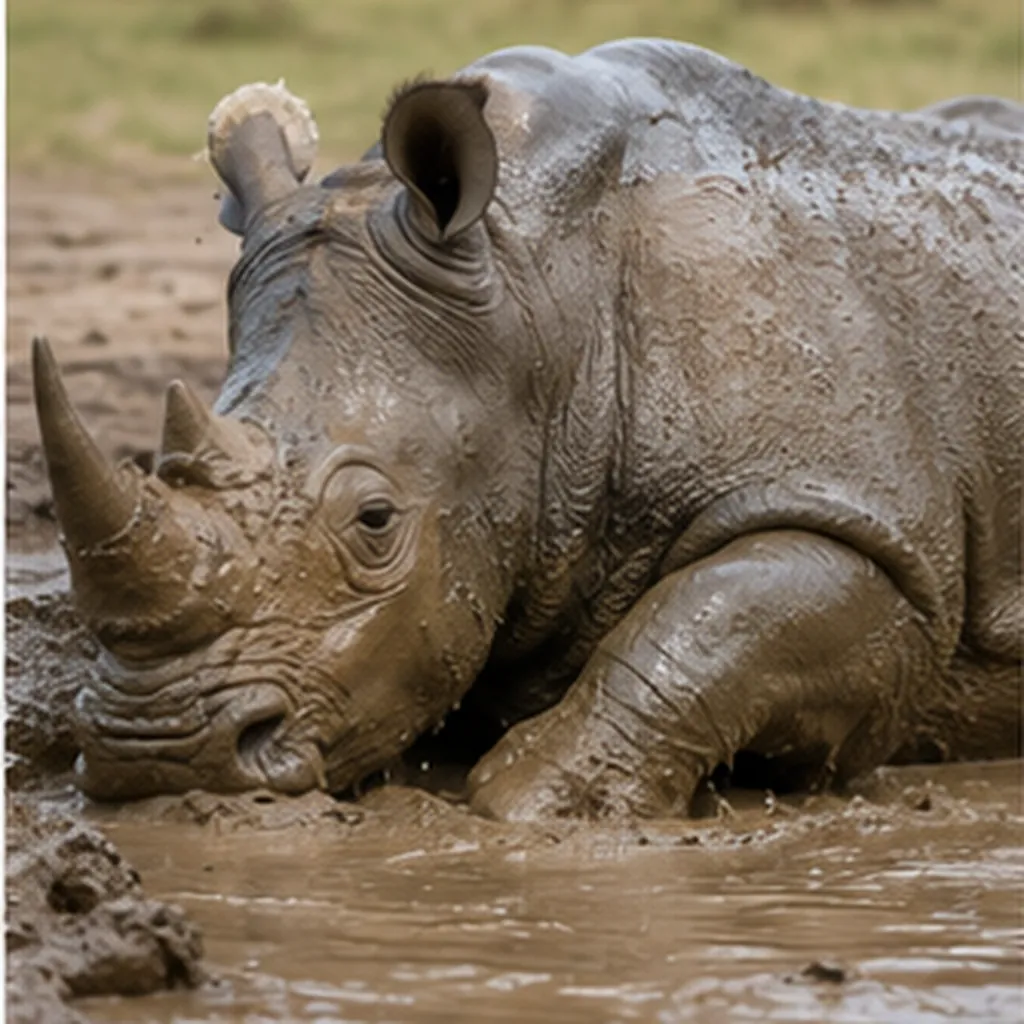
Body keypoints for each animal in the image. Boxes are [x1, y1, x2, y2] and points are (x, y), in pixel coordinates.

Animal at [33, 39, 1022, 819]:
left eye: (376, 521)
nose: (158, 750)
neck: (540, 287)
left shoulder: (878, 533)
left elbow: (718, 622)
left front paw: (532, 807)